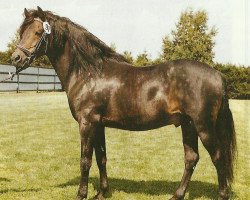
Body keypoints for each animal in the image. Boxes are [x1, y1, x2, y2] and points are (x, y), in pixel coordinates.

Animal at [11, 6, 236, 200]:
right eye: (22, 31)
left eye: (38, 32)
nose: (16, 58)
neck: (89, 73)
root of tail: (219, 76)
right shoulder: (99, 125)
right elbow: (101, 158)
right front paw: (101, 193)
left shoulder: (87, 123)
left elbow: (85, 160)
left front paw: (81, 194)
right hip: (188, 125)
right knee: (191, 158)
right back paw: (177, 195)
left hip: (203, 127)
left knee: (218, 158)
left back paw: (221, 195)